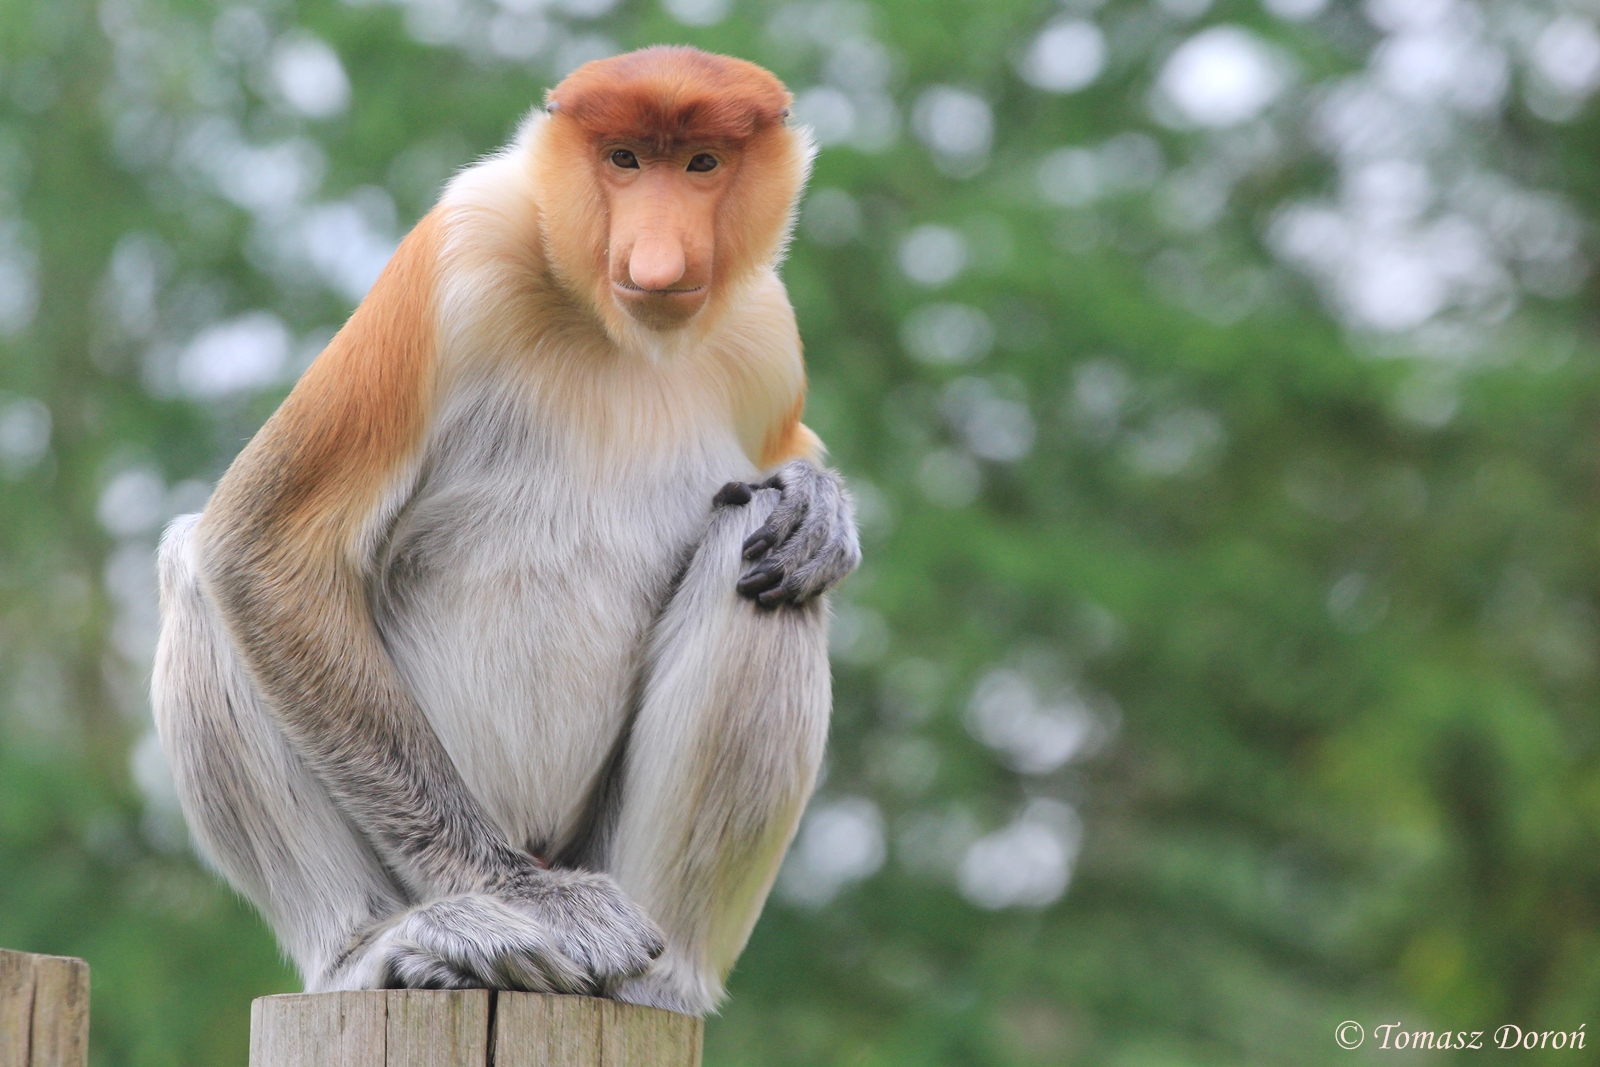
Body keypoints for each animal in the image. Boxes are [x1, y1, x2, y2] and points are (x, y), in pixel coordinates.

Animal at [149, 46, 858, 1016]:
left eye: (702, 163)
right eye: (624, 158)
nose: (658, 261)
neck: (612, 325)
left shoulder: (767, 332)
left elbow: (781, 479)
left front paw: (816, 498)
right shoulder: (457, 254)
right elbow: (260, 548)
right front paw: (533, 905)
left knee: (757, 561)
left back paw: (664, 981)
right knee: (192, 565)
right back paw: (383, 945)